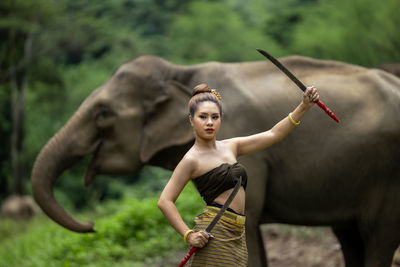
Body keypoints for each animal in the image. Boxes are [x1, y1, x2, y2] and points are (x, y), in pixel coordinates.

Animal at [31, 54, 400, 266]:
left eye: (103, 114)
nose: (92, 225)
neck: (182, 71)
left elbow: (251, 221)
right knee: (349, 235)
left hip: (389, 176)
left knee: (378, 234)